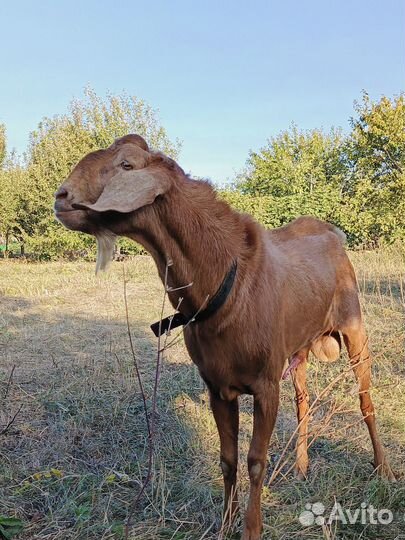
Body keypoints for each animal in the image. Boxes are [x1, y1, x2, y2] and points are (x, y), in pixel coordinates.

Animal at [55, 135, 392, 540]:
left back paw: (384, 469)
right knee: (304, 400)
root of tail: (335, 235)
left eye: (127, 165)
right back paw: (301, 467)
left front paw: (252, 528)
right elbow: (228, 460)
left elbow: (256, 461)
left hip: (355, 327)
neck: (222, 289)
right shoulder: (217, 386)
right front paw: (225, 525)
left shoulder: (265, 384)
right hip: (298, 348)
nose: (62, 196)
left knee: (365, 400)